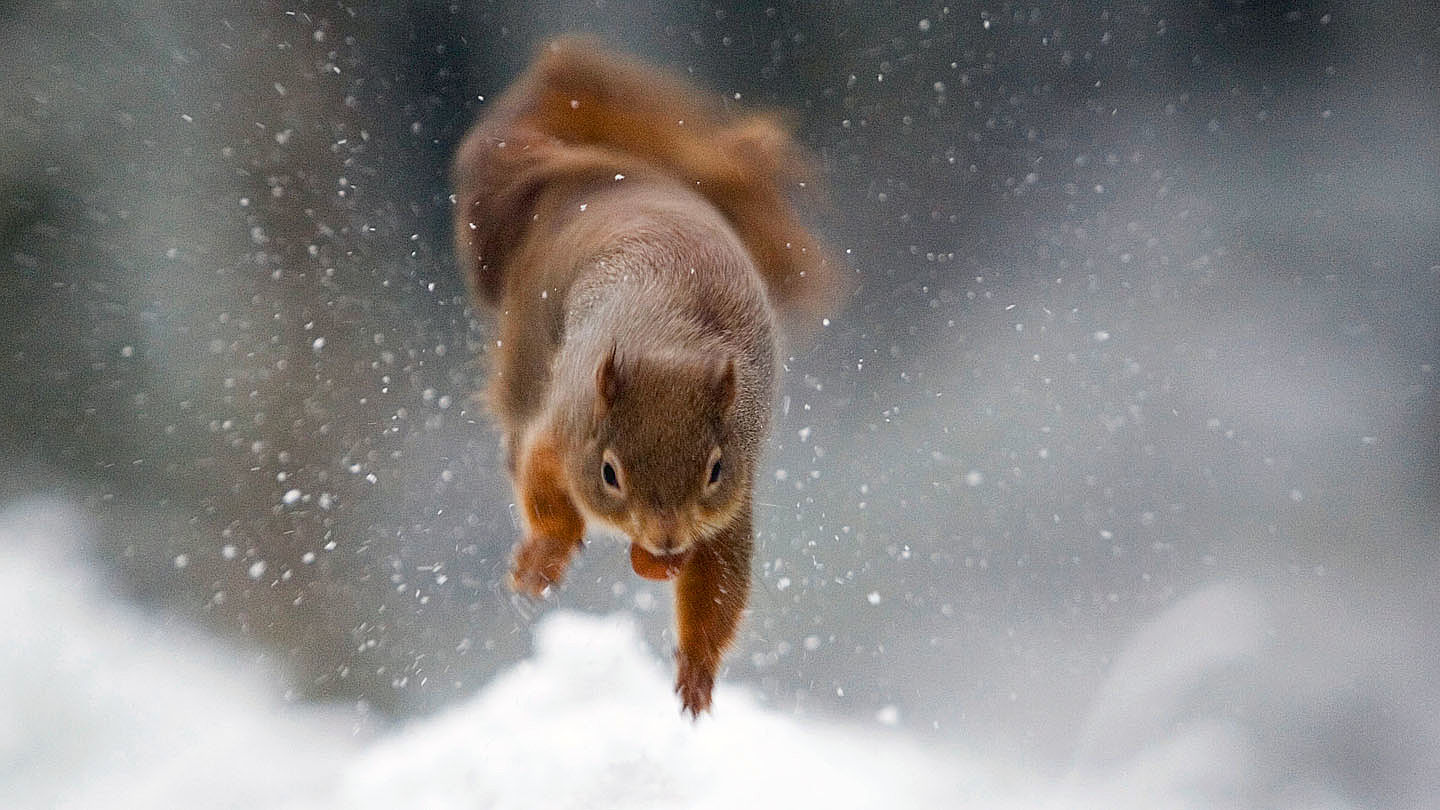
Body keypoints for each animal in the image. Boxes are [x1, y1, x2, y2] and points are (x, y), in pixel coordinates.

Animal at [446, 39, 835, 711]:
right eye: (609, 472)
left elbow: (720, 583)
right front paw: (546, 555)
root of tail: (584, 167)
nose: (667, 537)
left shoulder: (734, 501)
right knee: (514, 434)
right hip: (527, 348)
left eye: (715, 470)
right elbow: (543, 486)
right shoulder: (563, 427)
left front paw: (697, 672)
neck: (667, 347)